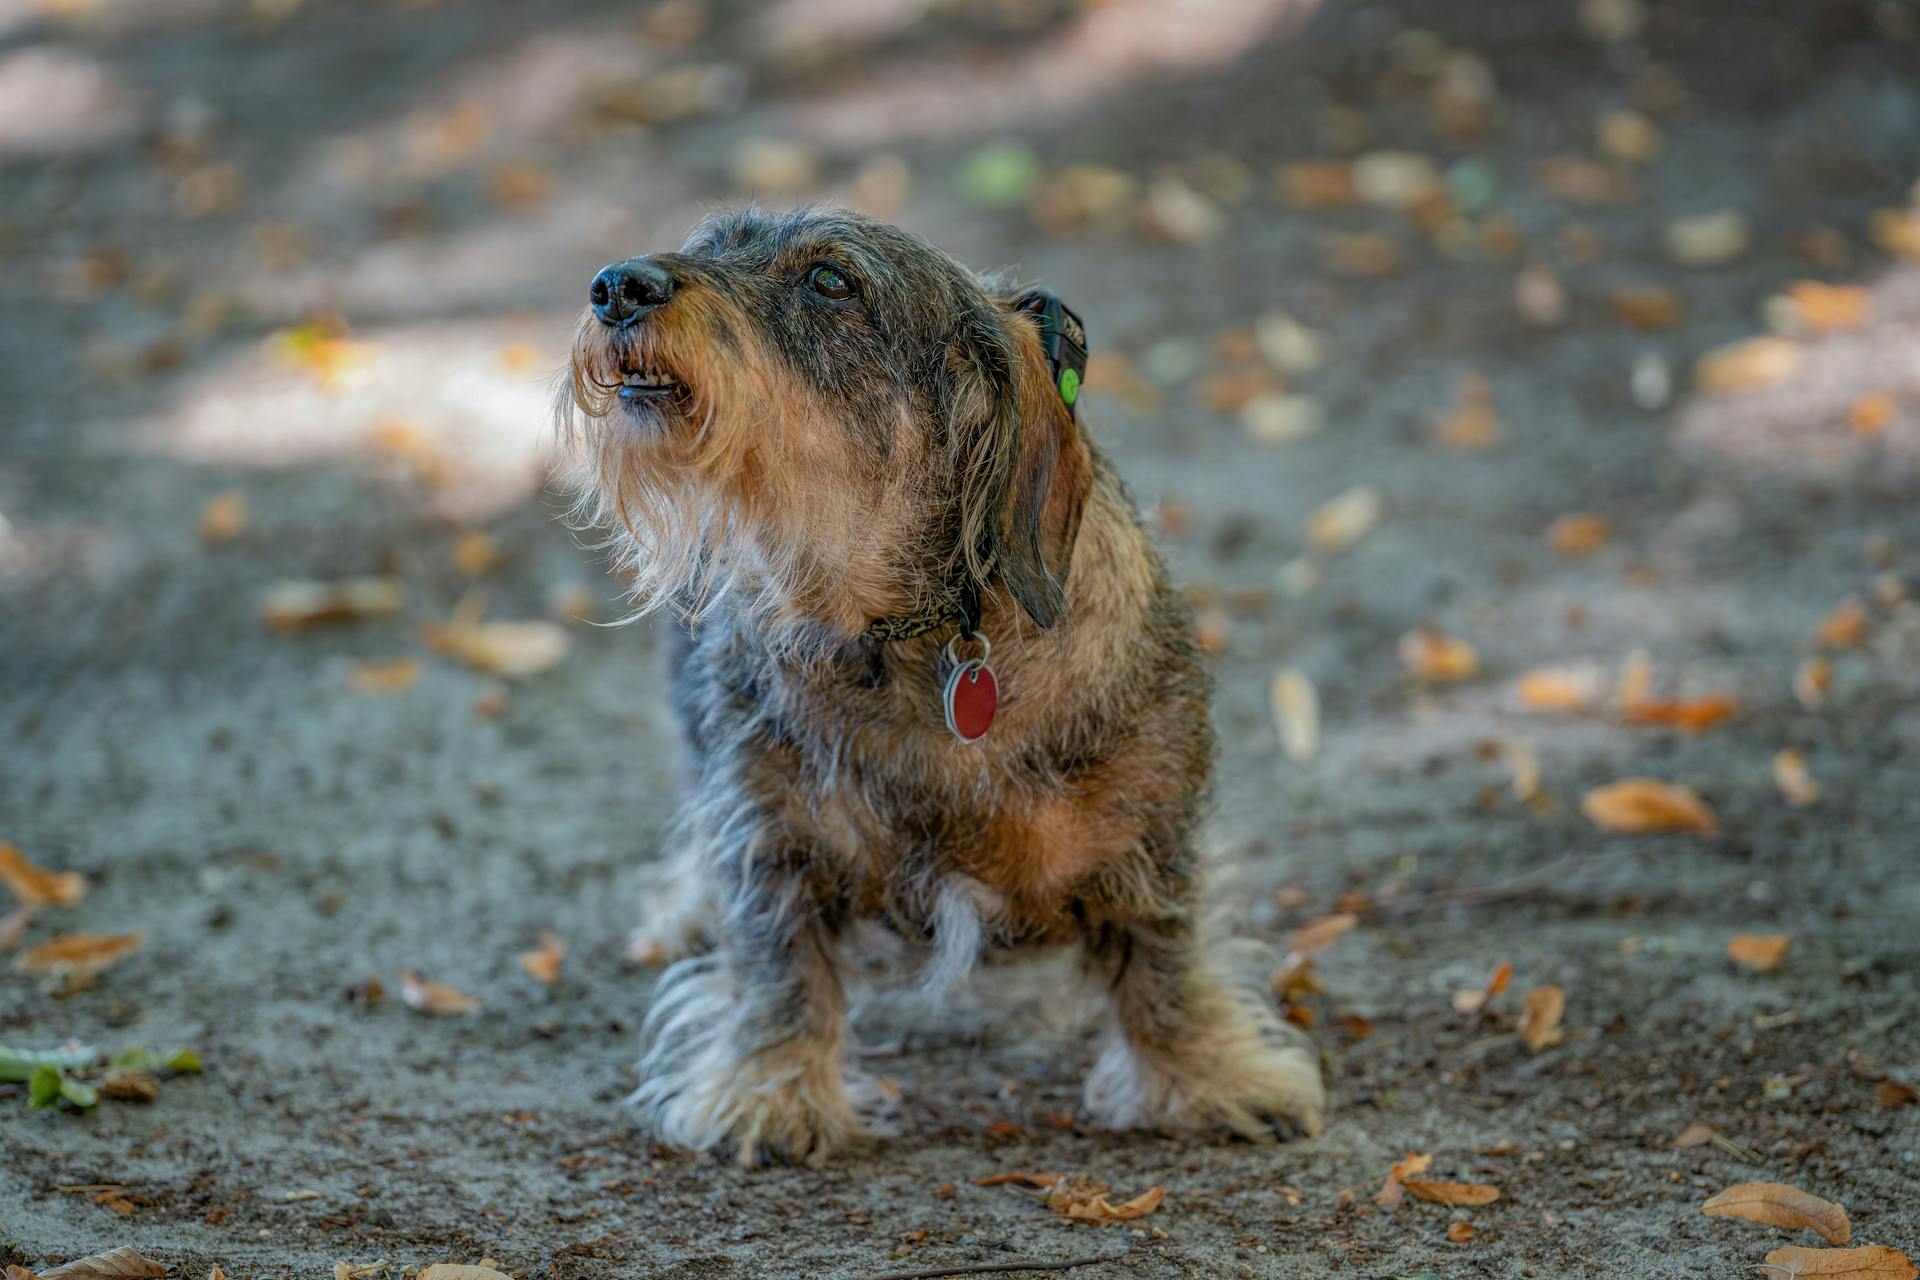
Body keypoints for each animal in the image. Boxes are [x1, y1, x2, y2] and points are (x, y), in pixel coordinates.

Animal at [560, 205, 1328, 1166]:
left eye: (830, 281)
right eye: (704, 246)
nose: (616, 286)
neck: (913, 637)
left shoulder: (1149, 841)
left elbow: (1164, 961)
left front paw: (1207, 1074)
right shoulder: (774, 841)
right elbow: (781, 965)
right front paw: (771, 1091)